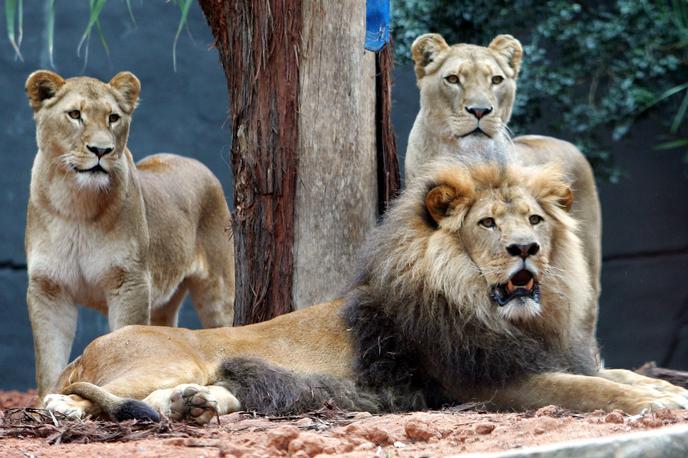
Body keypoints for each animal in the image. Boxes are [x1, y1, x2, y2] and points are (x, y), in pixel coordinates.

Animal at [25, 70, 235, 398]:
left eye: (113, 118)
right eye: (75, 115)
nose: (101, 150)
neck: (76, 205)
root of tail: (192, 161)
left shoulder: (131, 282)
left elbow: (126, 338)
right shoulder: (48, 288)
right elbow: (49, 361)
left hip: (218, 288)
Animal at [45, 160, 684, 422]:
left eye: (534, 220)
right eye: (487, 224)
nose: (524, 249)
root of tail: (87, 351)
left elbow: (614, 374)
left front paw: (662, 387)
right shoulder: (487, 382)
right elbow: (587, 388)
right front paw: (660, 403)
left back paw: (197, 405)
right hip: (159, 360)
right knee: (67, 398)